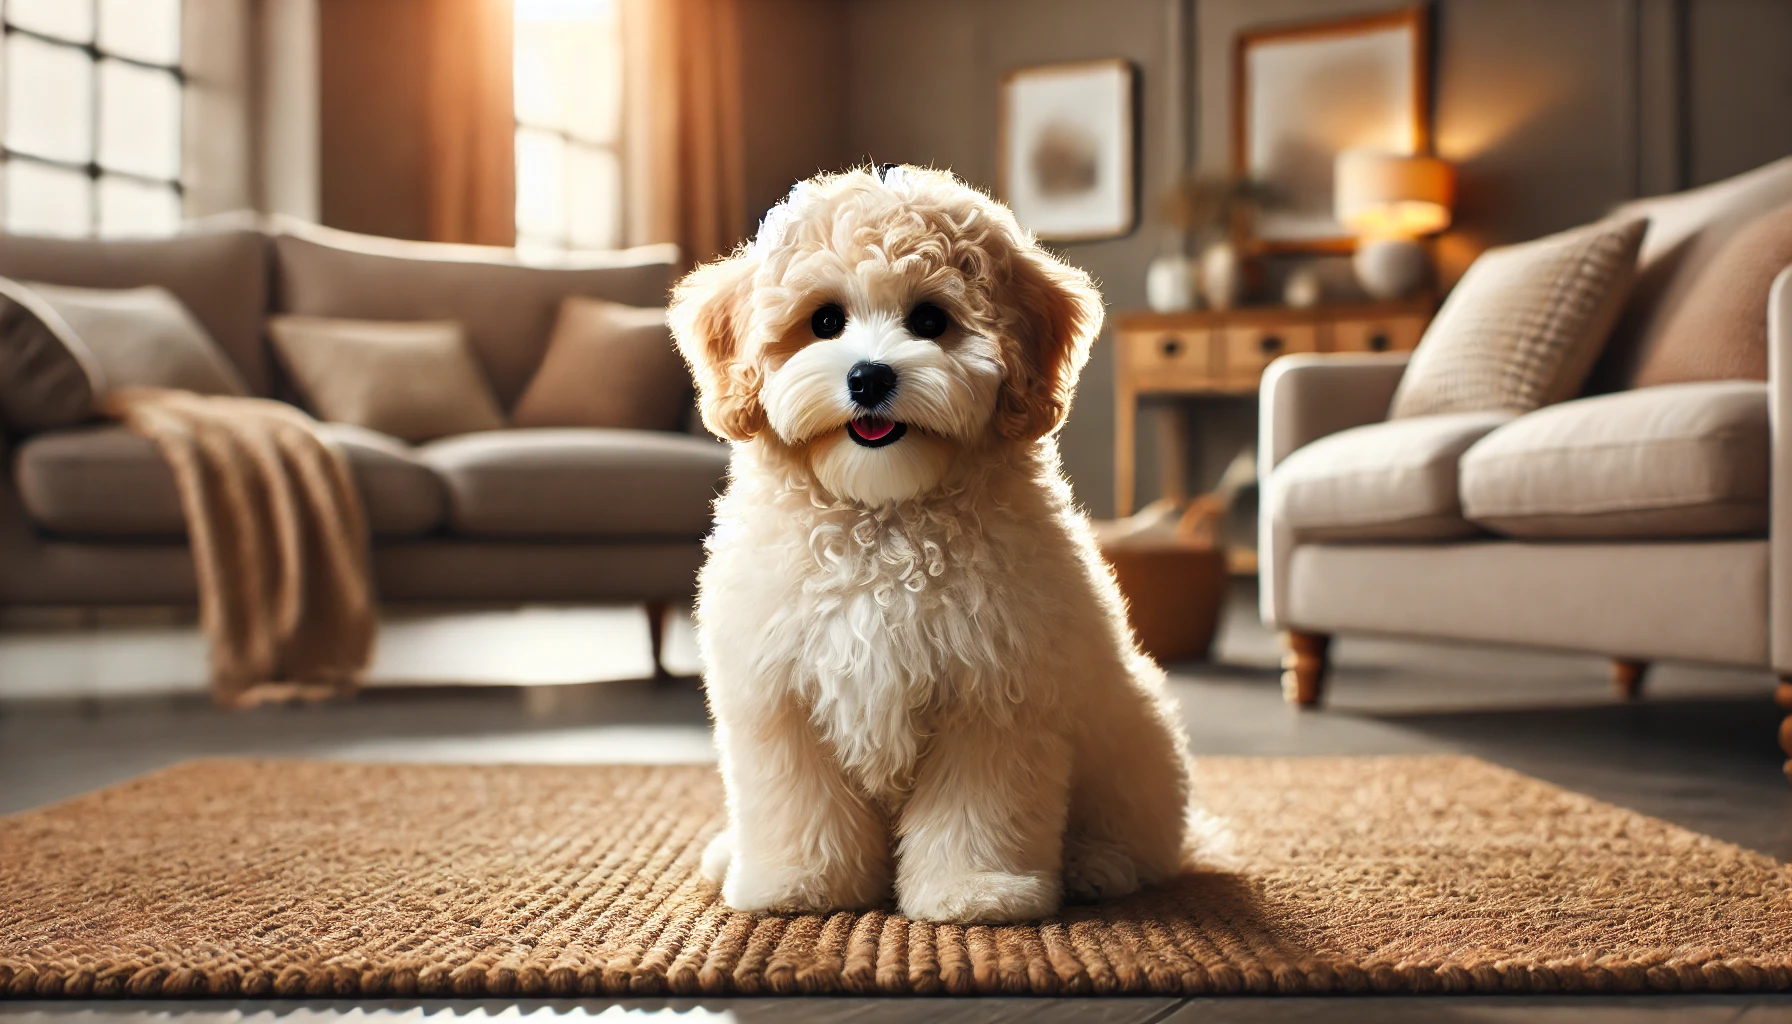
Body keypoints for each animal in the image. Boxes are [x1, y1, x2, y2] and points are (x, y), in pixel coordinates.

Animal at [670, 165, 1189, 918]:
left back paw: (1099, 864)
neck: (884, 519)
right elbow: (797, 802)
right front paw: (799, 882)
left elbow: (977, 806)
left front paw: (975, 890)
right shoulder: (780, 697)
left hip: (1133, 738)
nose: (869, 376)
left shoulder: (995, 691)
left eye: (930, 321)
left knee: (1146, 836)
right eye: (824, 321)